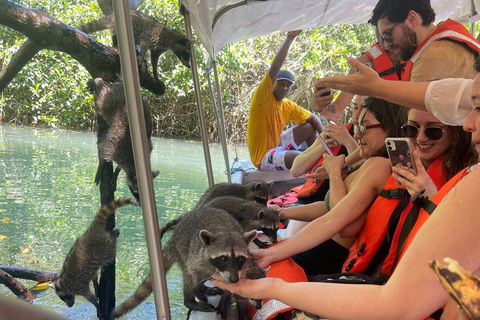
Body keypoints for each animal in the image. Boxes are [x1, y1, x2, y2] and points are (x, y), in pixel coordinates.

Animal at [110, 206, 258, 318]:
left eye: (240, 258)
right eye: (223, 258)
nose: (234, 279)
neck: (225, 230)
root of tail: (172, 239)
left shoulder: (242, 266)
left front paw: (226, 296)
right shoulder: (196, 254)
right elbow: (193, 271)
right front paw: (197, 289)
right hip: (181, 251)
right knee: (188, 275)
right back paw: (190, 299)